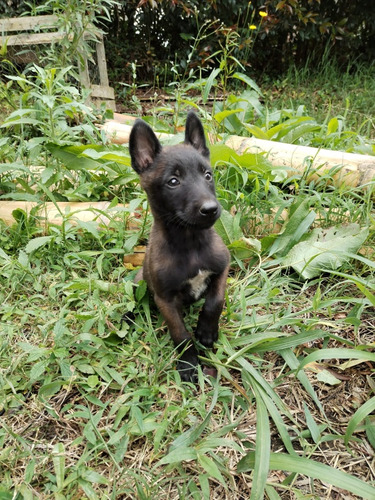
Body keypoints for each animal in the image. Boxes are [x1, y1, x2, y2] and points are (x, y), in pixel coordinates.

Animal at [129, 111, 229, 380]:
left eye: (208, 176)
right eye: (173, 181)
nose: (210, 209)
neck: (190, 242)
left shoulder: (223, 268)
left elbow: (215, 301)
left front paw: (206, 332)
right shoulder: (165, 299)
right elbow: (180, 334)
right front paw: (188, 364)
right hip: (138, 283)